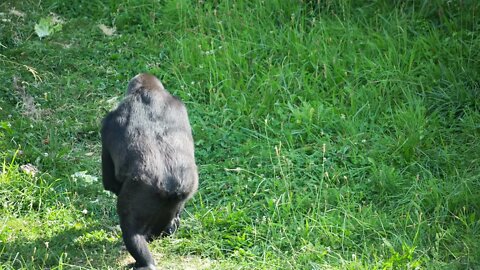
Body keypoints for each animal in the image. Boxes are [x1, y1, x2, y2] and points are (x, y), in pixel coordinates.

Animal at [101, 73, 199, 268]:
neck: (147, 93)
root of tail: (170, 185)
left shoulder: (107, 122)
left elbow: (109, 181)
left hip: (142, 191)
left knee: (131, 229)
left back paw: (145, 263)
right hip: (183, 191)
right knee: (168, 218)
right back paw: (171, 228)